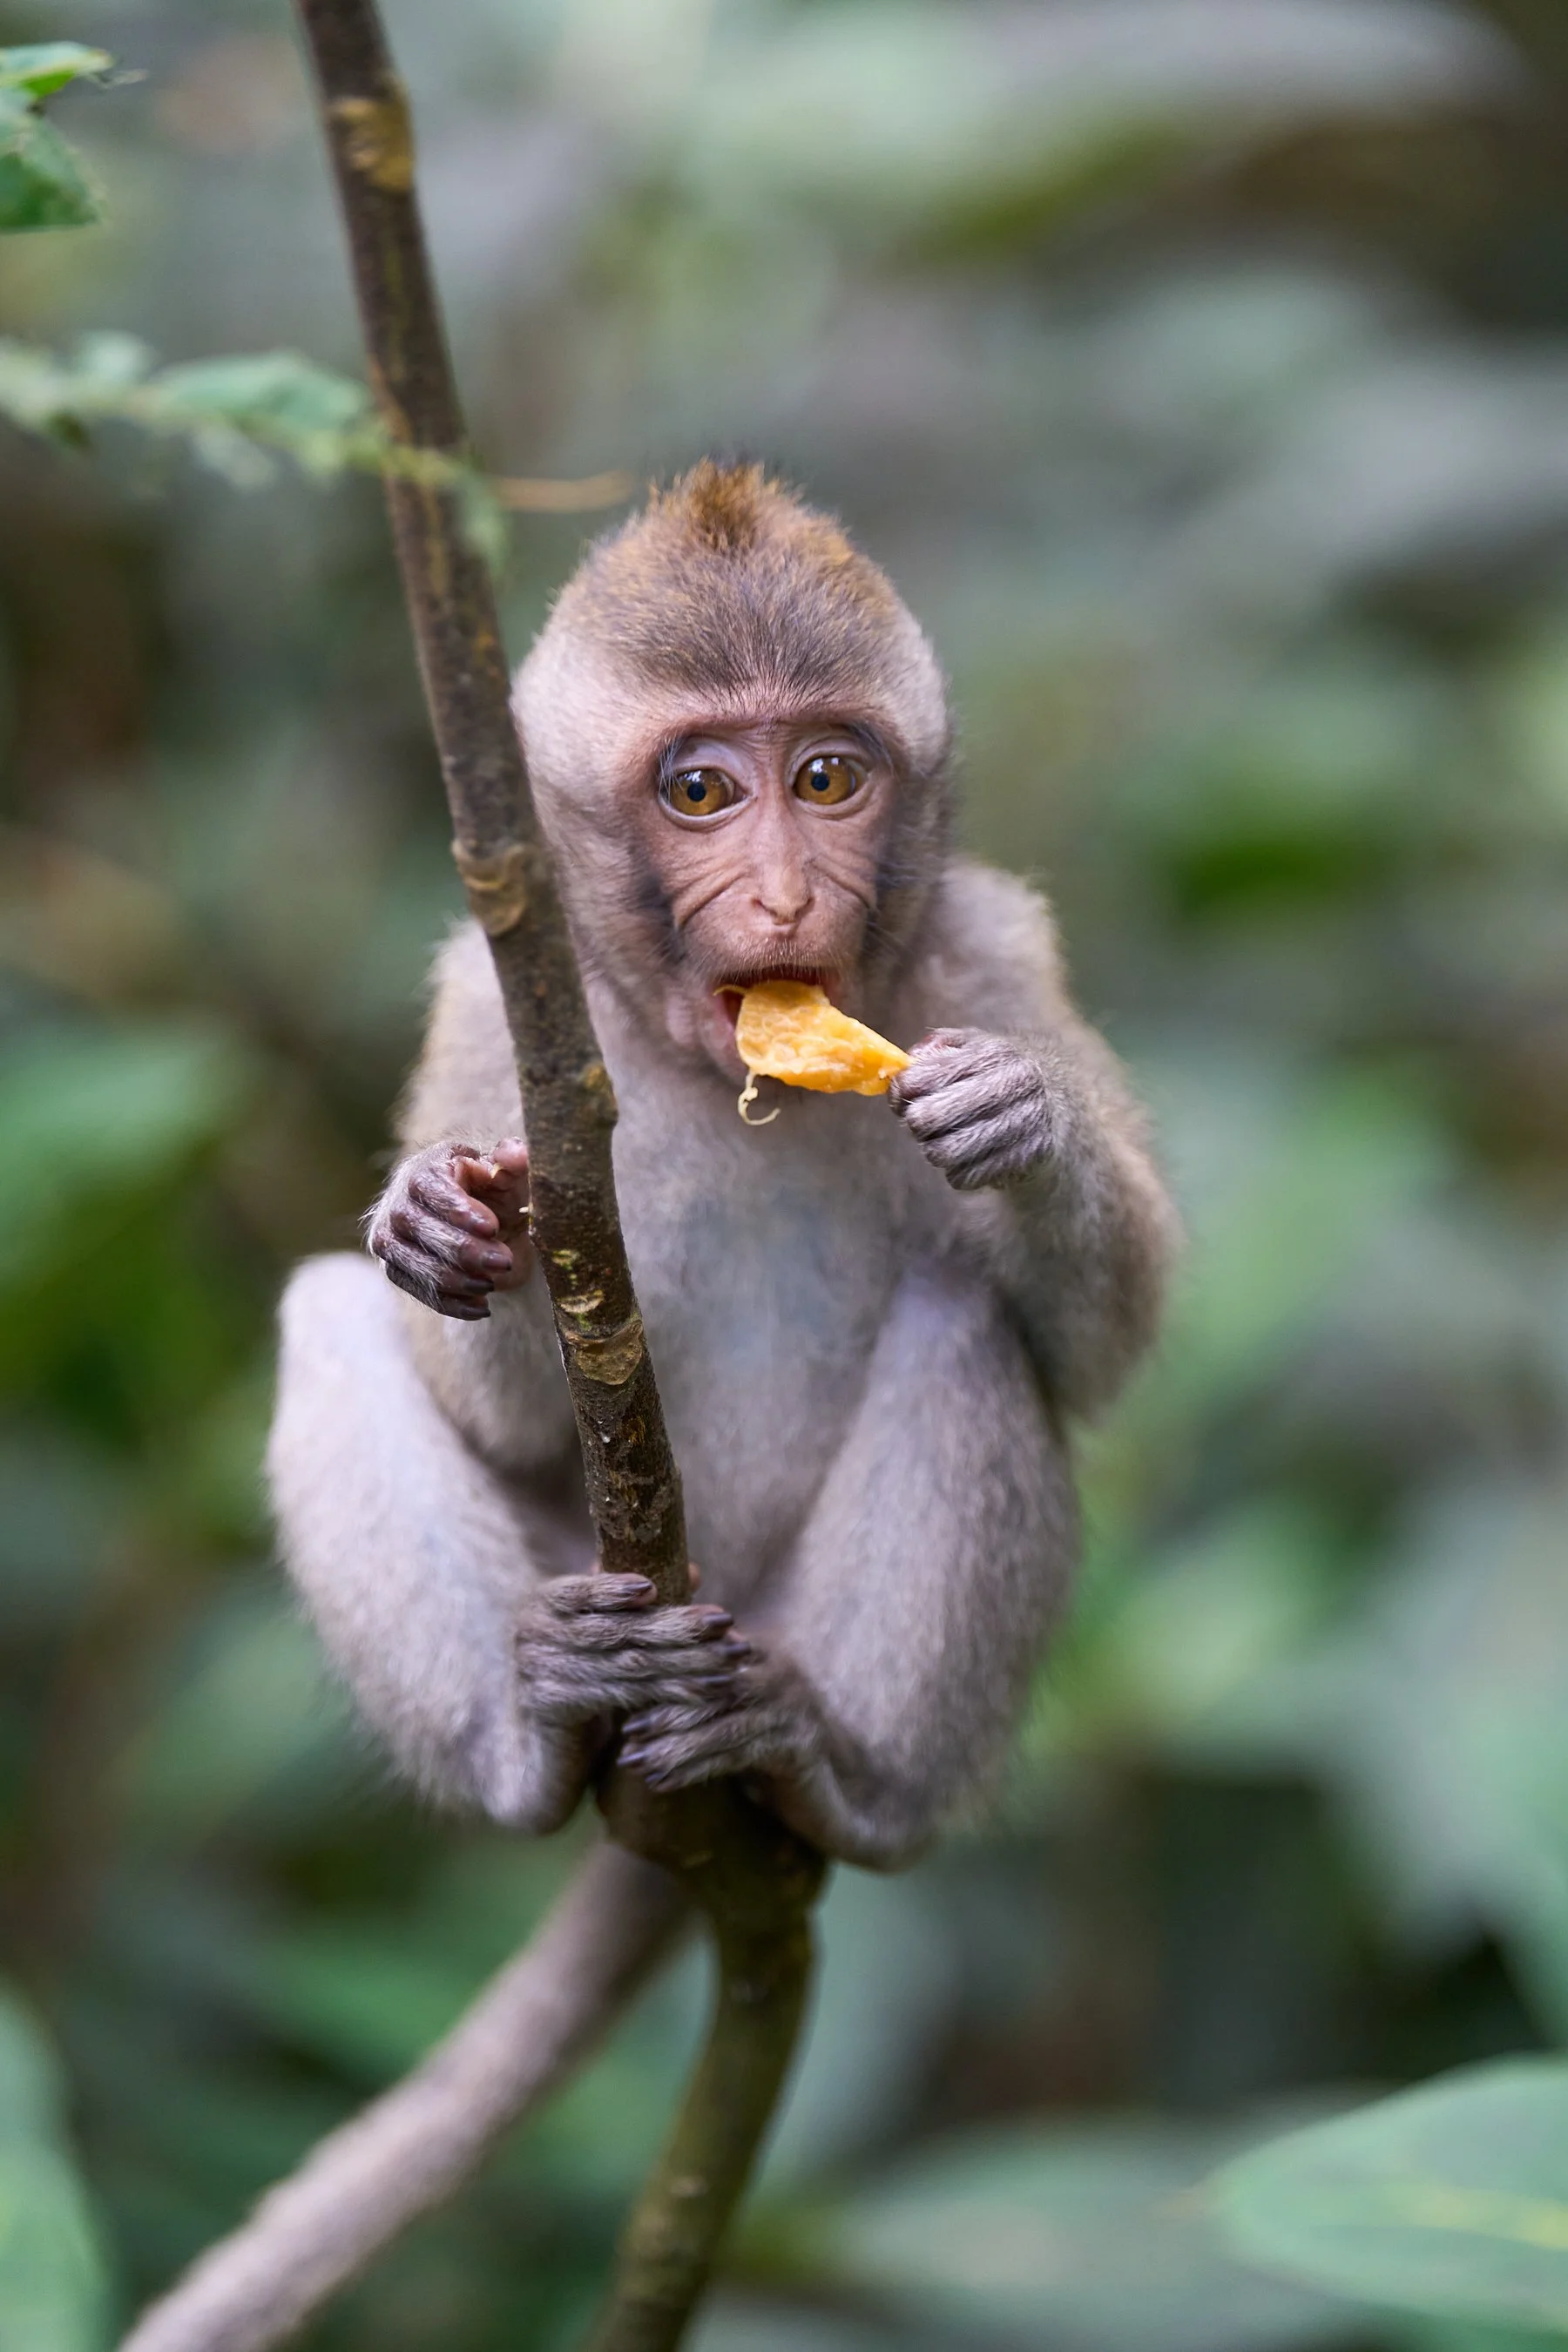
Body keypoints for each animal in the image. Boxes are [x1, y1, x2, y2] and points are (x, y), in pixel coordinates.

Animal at [265, 460, 1179, 1876]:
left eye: (825, 778)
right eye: (700, 792)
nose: (788, 899)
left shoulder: (991, 946)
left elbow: (1101, 1351)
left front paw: (1023, 1118)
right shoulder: (489, 1008)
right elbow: (493, 1410)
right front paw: (445, 1217)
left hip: (779, 1636)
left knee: (964, 1319)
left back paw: (836, 1777)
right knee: (325, 1316)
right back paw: (531, 1738)